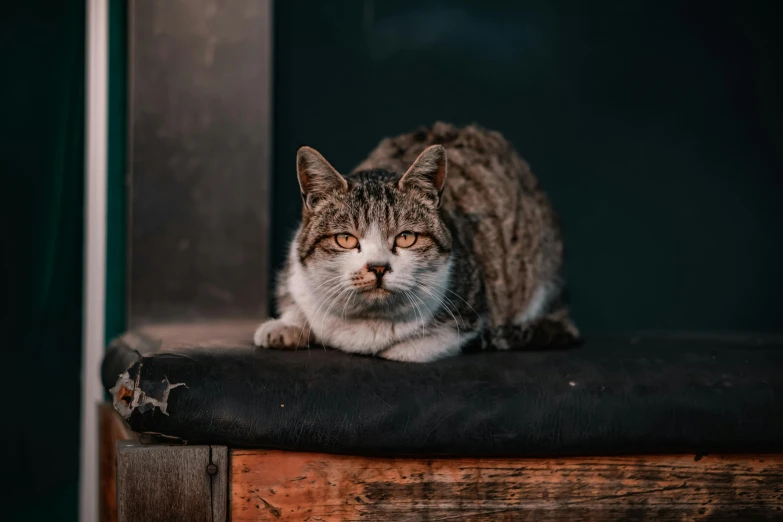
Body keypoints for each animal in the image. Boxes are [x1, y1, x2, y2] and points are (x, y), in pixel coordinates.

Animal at [254, 122, 580, 360]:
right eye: (346, 239)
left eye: (406, 238)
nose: (378, 267)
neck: (367, 321)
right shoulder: (293, 273)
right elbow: (295, 304)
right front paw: (286, 326)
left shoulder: (469, 312)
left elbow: (425, 344)